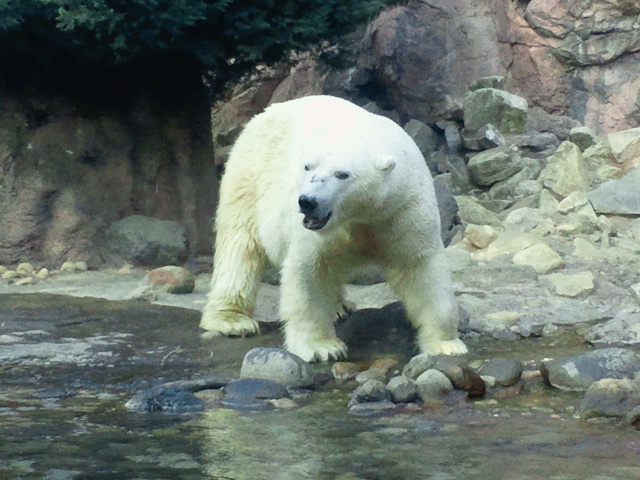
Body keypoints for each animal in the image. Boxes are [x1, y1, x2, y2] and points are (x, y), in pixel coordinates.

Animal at [202, 95, 468, 362]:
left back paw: (339, 307)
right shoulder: (320, 231)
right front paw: (321, 347)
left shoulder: (402, 207)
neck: (359, 213)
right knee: (240, 247)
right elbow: (310, 271)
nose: (307, 201)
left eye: (342, 174)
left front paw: (447, 345)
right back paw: (233, 320)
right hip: (249, 176)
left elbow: (421, 268)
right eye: (308, 167)